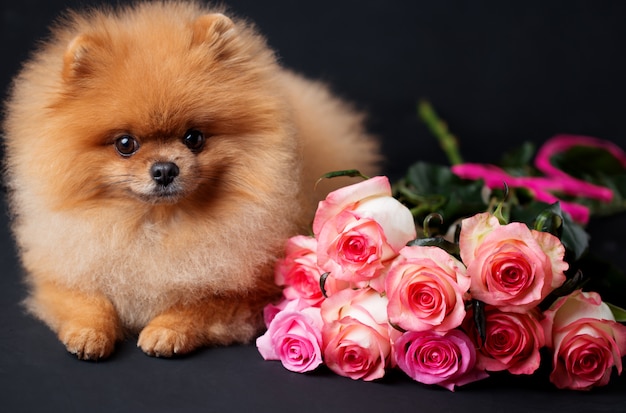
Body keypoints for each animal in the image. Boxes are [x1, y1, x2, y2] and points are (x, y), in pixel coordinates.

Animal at [2, 0, 378, 358]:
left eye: (193, 138)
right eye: (125, 144)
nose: (165, 169)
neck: (154, 224)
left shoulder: (250, 294)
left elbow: (199, 305)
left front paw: (166, 330)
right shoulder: (64, 270)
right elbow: (85, 300)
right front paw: (89, 332)